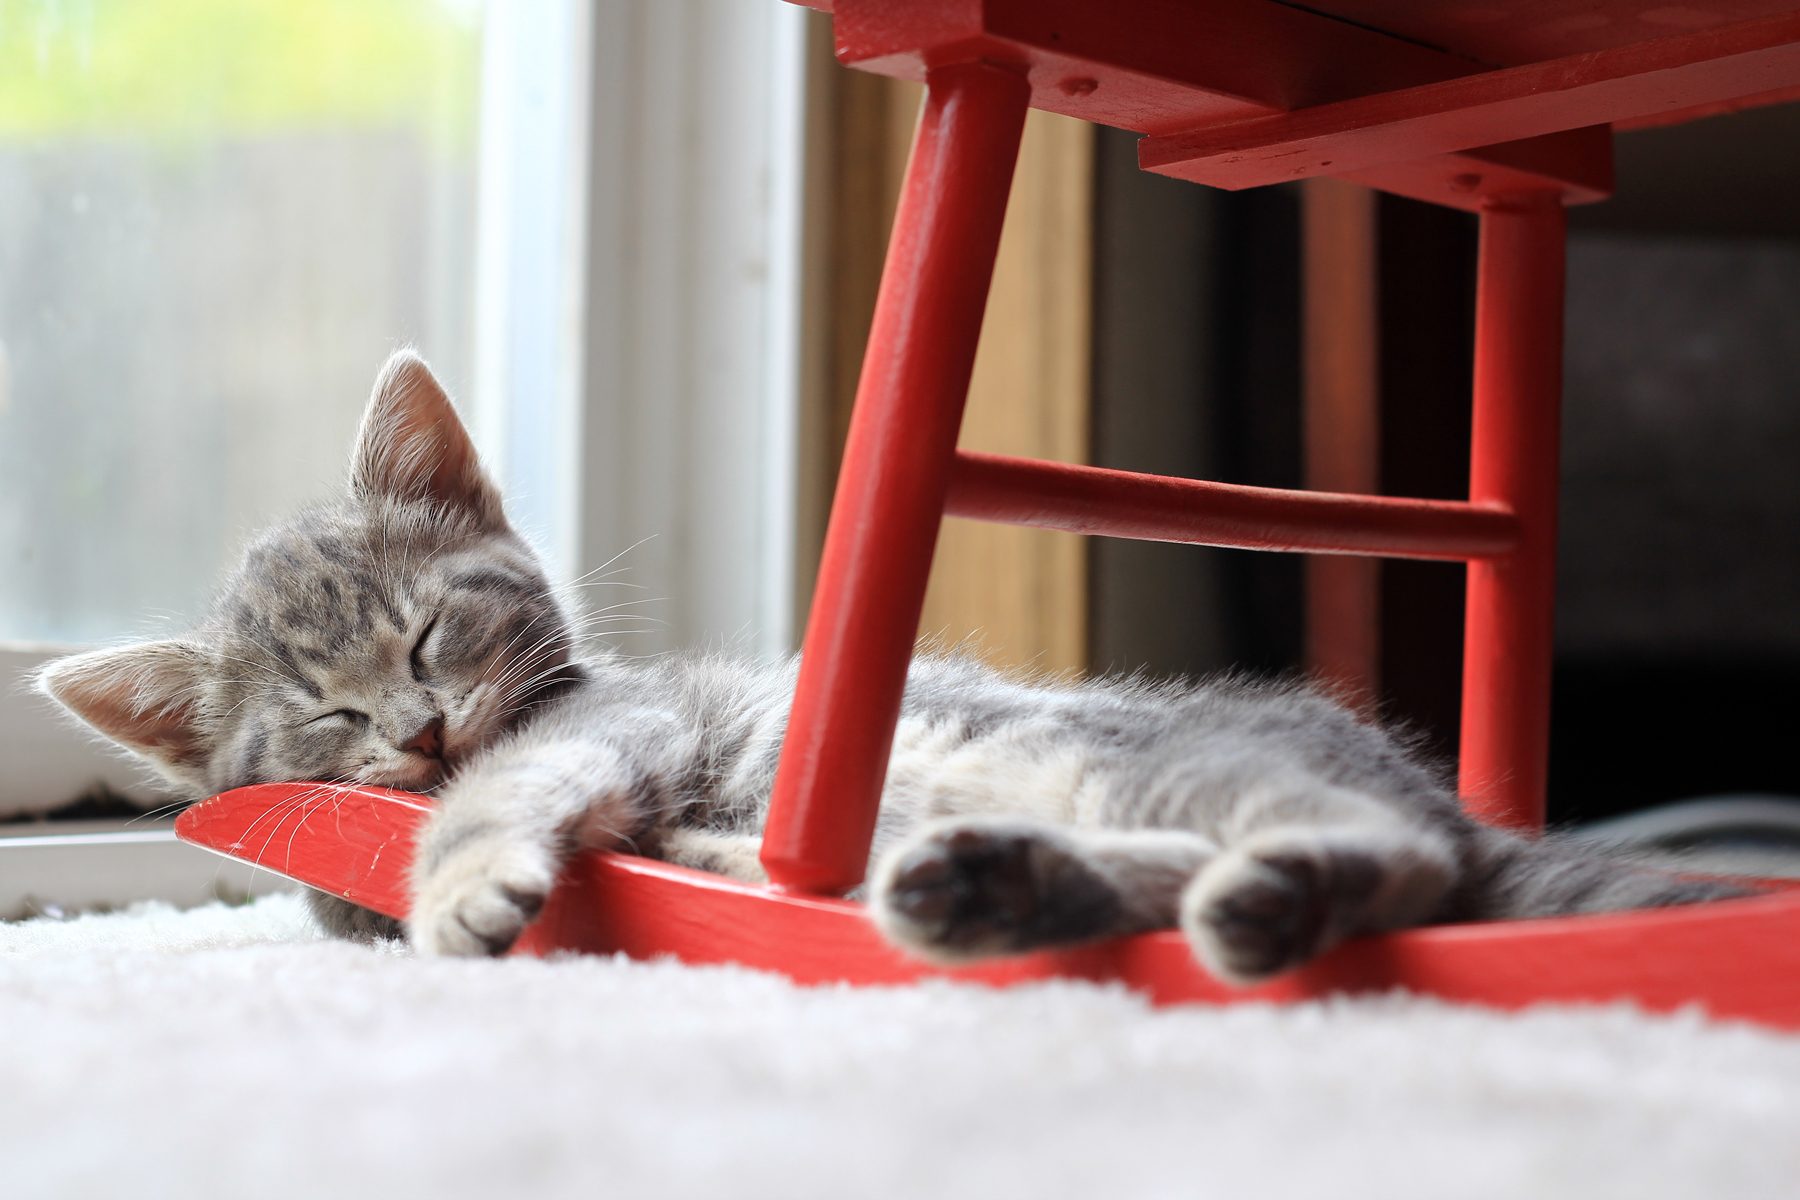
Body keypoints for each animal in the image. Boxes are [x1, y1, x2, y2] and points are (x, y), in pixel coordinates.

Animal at [35, 352, 1749, 978]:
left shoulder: (613, 724)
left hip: (1131, 757)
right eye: (323, 715)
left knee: (1386, 868)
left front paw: (458, 875)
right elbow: (341, 889)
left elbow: (498, 794)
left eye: (427, 634)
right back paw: (982, 888)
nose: (417, 726)